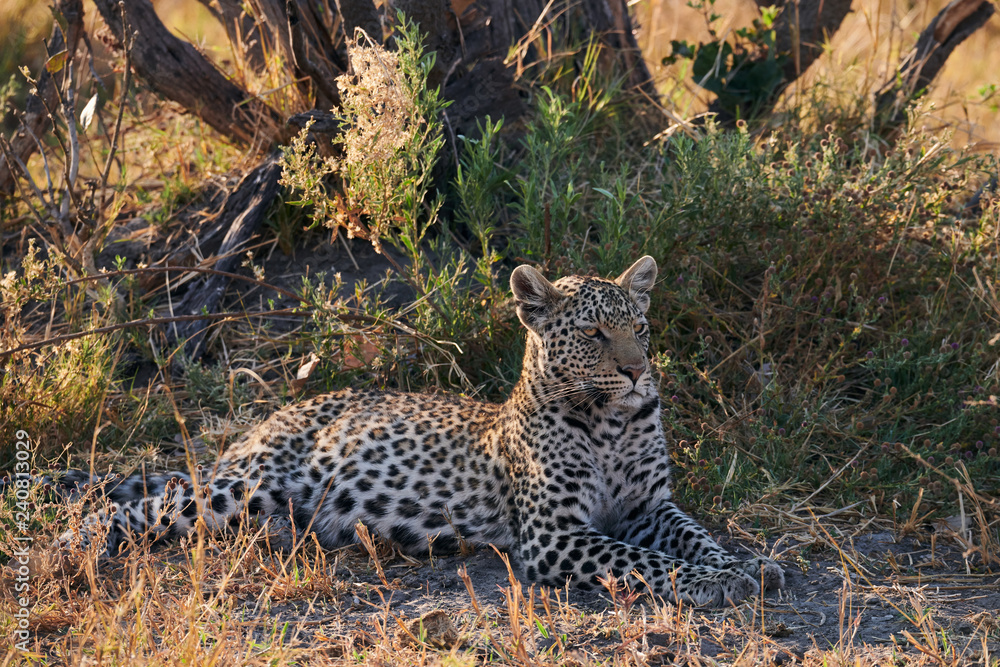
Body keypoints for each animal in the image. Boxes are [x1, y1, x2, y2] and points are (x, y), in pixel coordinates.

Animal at [50, 256, 784, 606]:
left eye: (641, 326)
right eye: (594, 334)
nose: (637, 373)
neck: (610, 422)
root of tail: (275, 417)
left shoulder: (650, 507)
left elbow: (696, 538)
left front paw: (748, 566)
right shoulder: (556, 536)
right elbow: (647, 561)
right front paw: (709, 583)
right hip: (245, 486)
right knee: (139, 505)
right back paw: (70, 551)